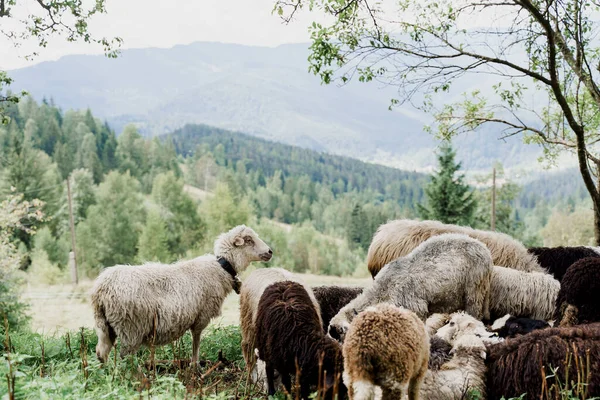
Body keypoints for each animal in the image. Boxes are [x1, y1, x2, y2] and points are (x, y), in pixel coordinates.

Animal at [92, 225, 272, 362]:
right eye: (249, 240)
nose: (270, 251)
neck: (222, 267)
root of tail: (101, 288)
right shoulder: (202, 315)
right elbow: (196, 341)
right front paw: (195, 366)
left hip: (105, 325)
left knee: (101, 352)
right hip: (131, 327)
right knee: (126, 358)